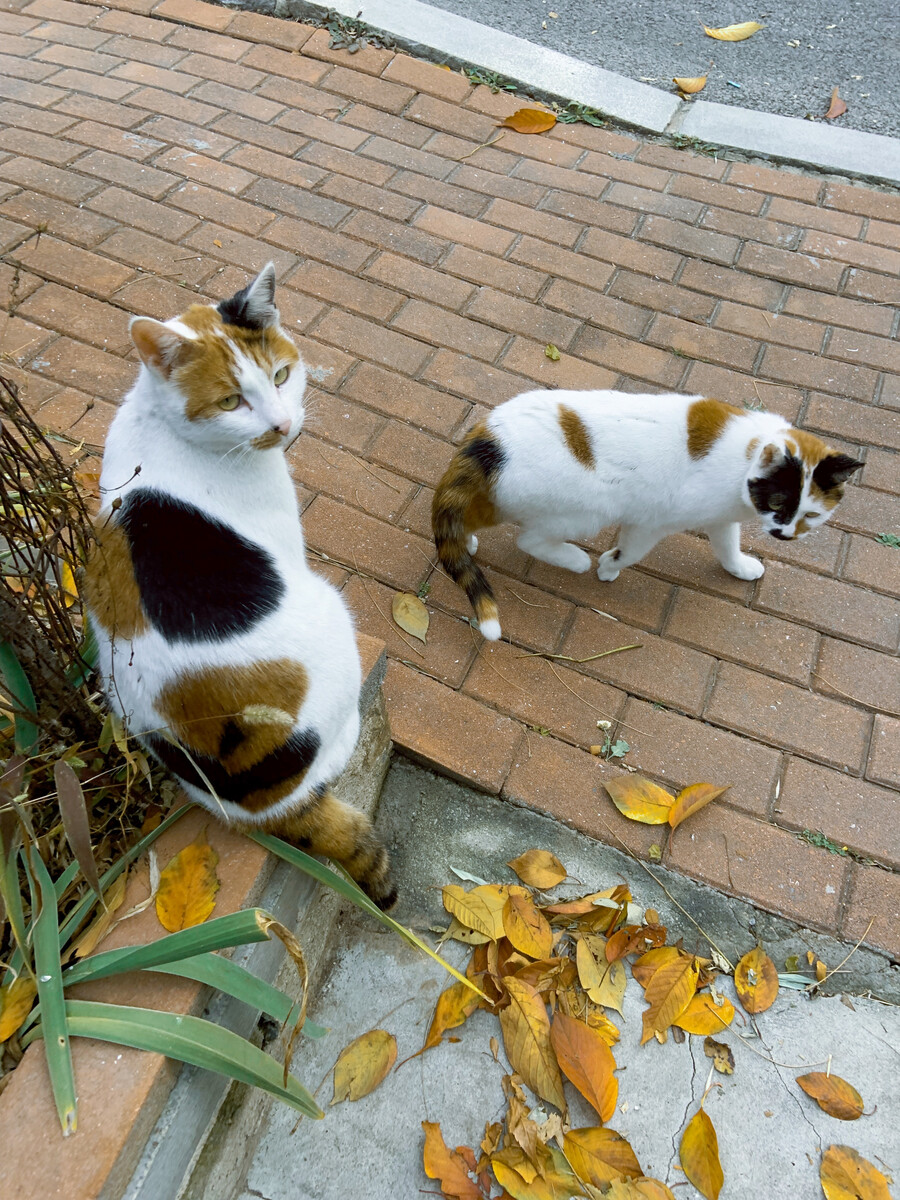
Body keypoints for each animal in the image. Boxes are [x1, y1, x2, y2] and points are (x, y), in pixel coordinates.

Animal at [84, 265, 398, 907]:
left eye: (281, 375)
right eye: (231, 400)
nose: (282, 424)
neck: (163, 427)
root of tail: (265, 806)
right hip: (331, 608)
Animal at [434, 391, 864, 638]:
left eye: (811, 514)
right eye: (777, 503)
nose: (784, 534)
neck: (746, 456)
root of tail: (488, 439)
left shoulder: (721, 517)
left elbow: (727, 547)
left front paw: (739, 568)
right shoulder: (653, 520)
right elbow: (631, 552)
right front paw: (608, 567)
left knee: (471, 518)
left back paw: (466, 540)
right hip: (588, 508)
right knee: (530, 539)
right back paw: (575, 560)